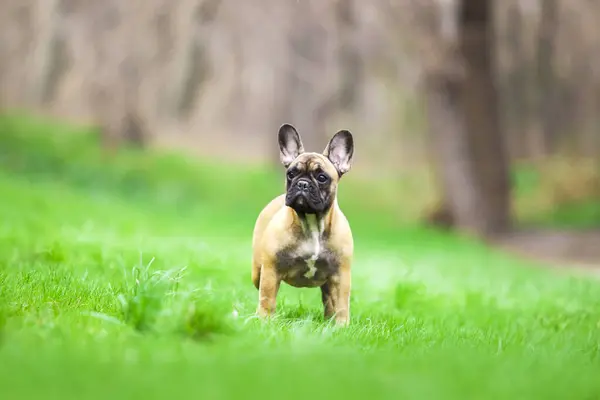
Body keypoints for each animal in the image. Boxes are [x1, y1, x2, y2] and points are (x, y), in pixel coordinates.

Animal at [251, 124, 354, 324]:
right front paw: (265, 321)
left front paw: (341, 326)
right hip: (258, 270)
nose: (302, 184)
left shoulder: (341, 276)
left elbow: (341, 305)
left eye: (322, 177)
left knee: (329, 300)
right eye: (291, 174)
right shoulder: (271, 271)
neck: (312, 222)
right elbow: (267, 298)